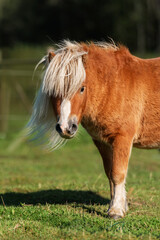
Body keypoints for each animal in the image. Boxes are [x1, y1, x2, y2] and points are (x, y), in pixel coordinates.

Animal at [28, 41, 160, 219]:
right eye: (53, 91)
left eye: (82, 88)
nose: (65, 128)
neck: (113, 87)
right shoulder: (102, 142)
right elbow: (110, 174)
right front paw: (117, 205)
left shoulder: (123, 138)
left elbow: (118, 173)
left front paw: (116, 211)